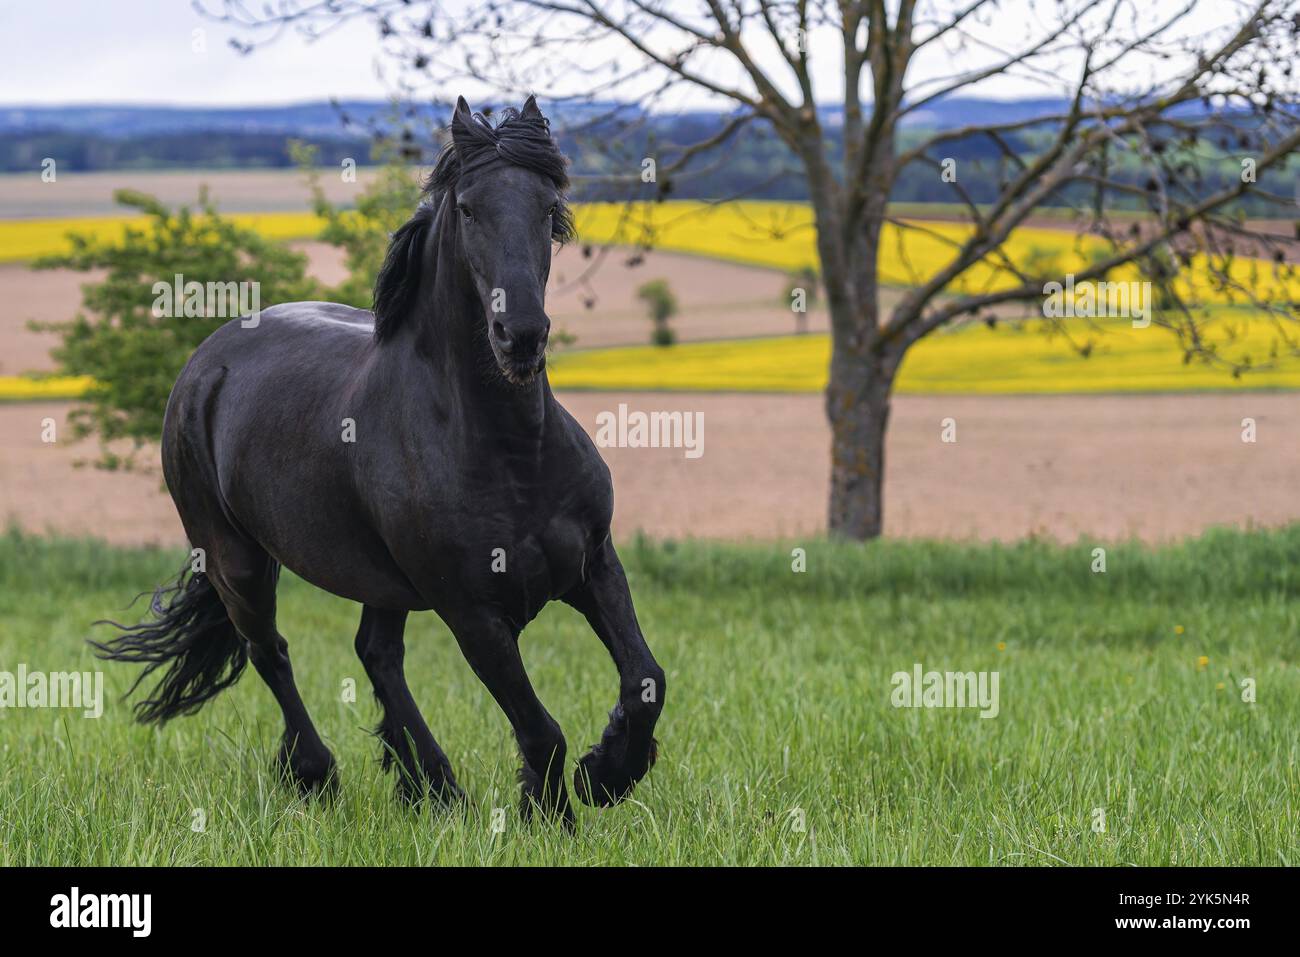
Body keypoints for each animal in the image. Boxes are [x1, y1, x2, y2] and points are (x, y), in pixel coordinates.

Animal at [94, 98, 660, 832]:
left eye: (548, 207)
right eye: (469, 208)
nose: (521, 336)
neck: (511, 450)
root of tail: (205, 362)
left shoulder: (593, 563)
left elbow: (646, 680)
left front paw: (609, 772)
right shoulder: (472, 612)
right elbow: (541, 729)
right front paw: (555, 811)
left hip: (380, 578)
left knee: (377, 654)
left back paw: (433, 787)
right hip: (235, 558)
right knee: (269, 651)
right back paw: (321, 774)